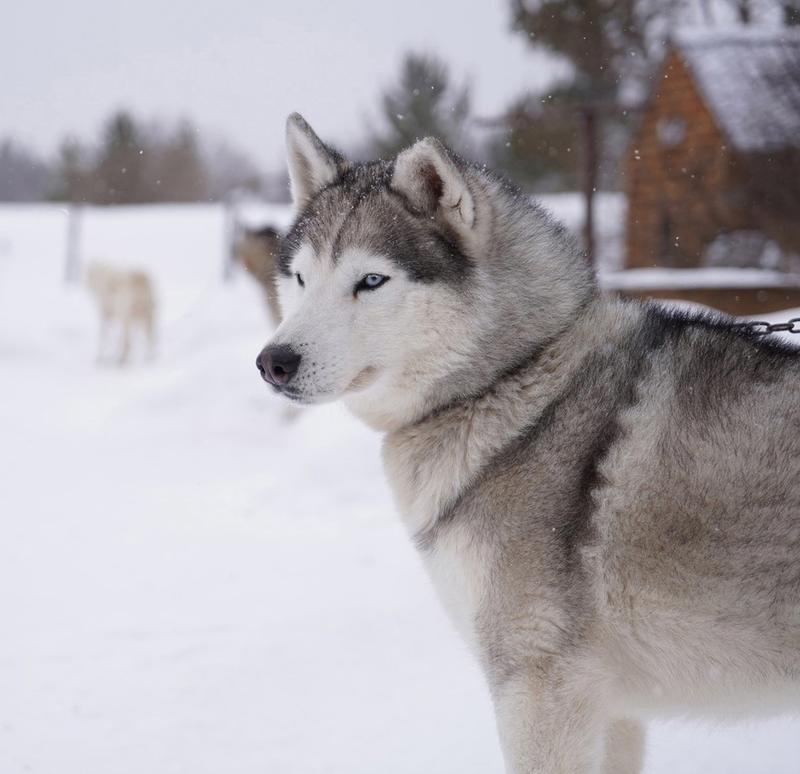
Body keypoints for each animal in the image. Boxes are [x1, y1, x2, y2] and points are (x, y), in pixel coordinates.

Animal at [258, 115, 800, 774]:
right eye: (301, 278)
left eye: (371, 280)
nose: (273, 362)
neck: (515, 377)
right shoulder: (612, 710)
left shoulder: (541, 689)